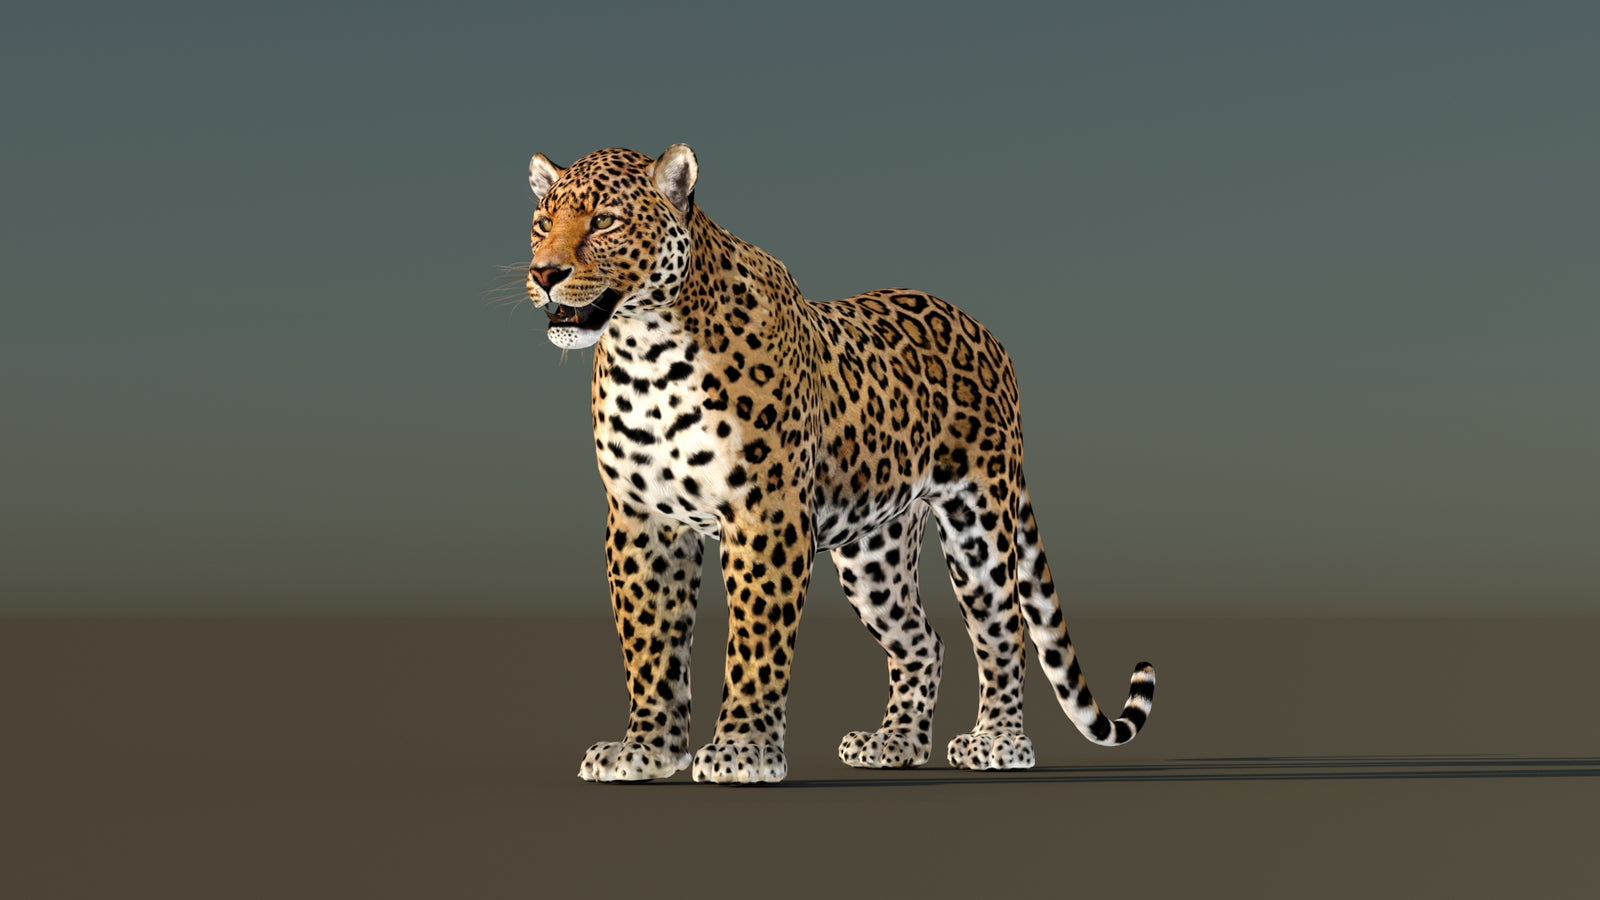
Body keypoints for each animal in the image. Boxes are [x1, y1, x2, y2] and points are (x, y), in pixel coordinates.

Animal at [522, 144, 1155, 784]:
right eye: (543, 223)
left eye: (605, 222)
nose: (544, 274)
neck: (646, 351)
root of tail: (986, 334)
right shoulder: (643, 519)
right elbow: (651, 640)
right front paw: (646, 750)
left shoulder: (765, 512)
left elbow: (756, 639)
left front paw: (743, 751)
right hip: (874, 547)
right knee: (923, 640)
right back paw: (895, 743)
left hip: (978, 518)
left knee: (1004, 628)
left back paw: (998, 741)